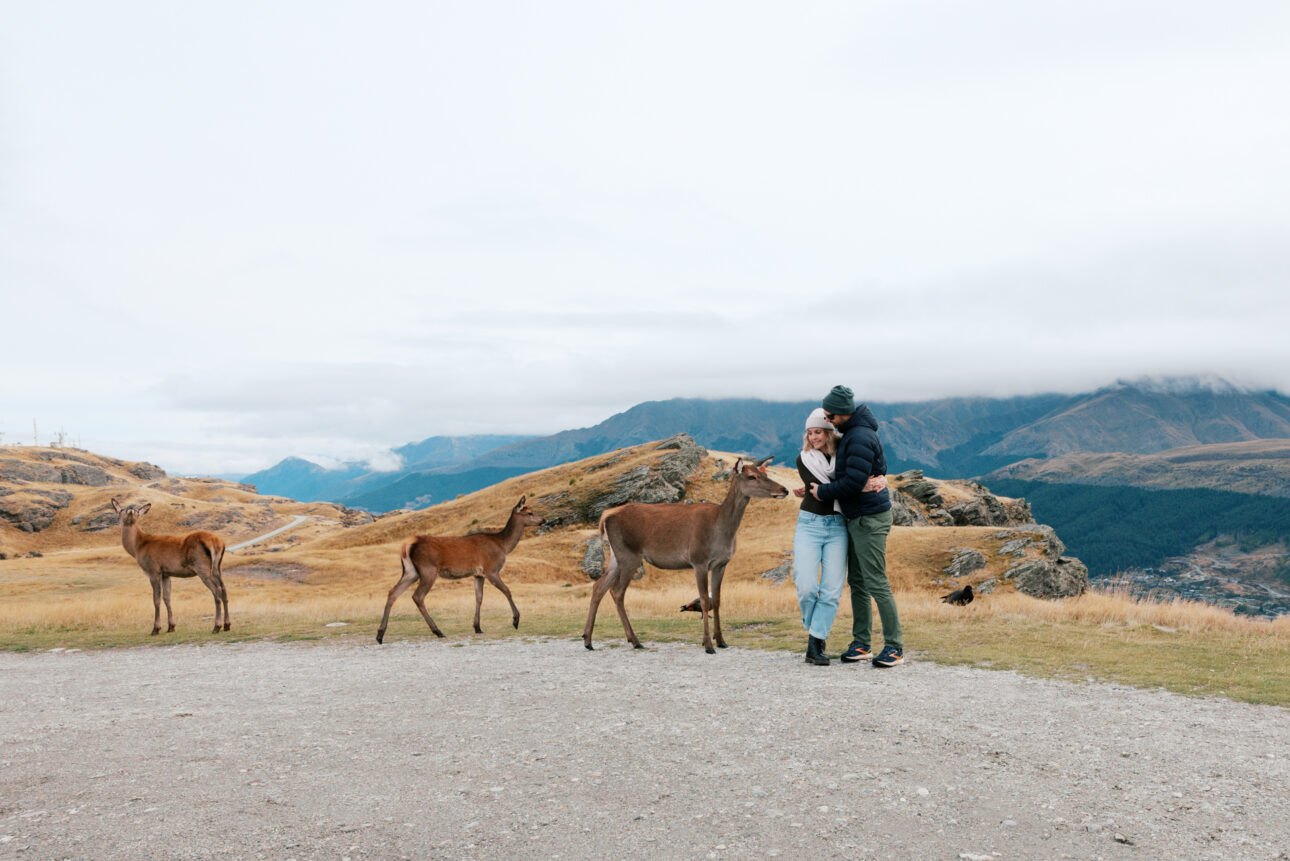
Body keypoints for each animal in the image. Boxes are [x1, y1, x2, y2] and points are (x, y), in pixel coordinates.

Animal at [111, 498, 230, 635]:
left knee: (217, 590)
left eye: (136, 510)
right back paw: (227, 625)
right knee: (224, 589)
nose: (130, 508)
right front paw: (171, 626)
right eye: (122, 510)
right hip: (217, 567)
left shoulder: (153, 570)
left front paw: (156, 628)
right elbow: (167, 598)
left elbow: (156, 599)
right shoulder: (166, 574)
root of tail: (217, 543)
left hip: (202, 567)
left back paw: (217, 626)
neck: (137, 548)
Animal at [376, 496, 543, 644]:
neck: (503, 546)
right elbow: (507, 590)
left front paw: (477, 627)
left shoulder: (478, 574)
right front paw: (516, 620)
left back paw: (380, 635)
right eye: (529, 513)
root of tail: (408, 545)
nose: (543, 520)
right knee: (417, 596)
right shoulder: (492, 570)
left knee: (393, 592)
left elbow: (479, 598)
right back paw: (438, 631)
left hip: (411, 572)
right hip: (428, 570)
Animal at [583, 457, 789, 654]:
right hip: (629, 555)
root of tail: (605, 517)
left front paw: (721, 640)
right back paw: (634, 640)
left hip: (616, 557)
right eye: (752, 476)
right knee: (617, 591)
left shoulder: (721, 564)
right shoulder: (699, 560)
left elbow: (717, 600)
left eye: (765, 473)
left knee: (599, 587)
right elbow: (705, 600)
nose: (784, 489)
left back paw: (588, 640)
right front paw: (708, 645)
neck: (722, 531)